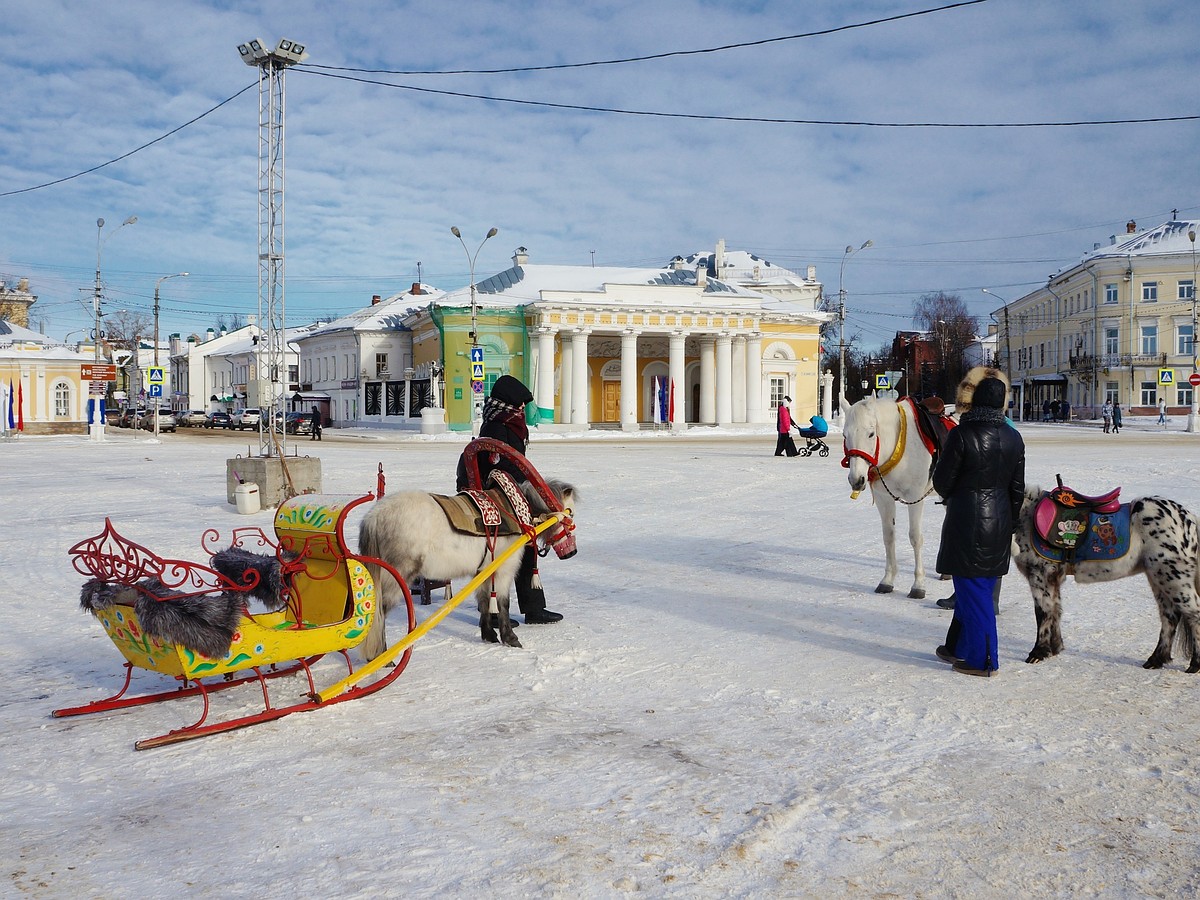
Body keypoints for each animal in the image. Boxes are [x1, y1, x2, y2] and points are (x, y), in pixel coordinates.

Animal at [355, 475, 576, 657]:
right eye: (571, 513)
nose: (572, 553)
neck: (514, 511)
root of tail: (373, 518)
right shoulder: (504, 570)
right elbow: (503, 603)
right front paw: (511, 639)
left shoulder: (483, 571)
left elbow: (485, 601)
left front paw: (489, 635)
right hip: (395, 578)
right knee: (377, 615)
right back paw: (382, 658)